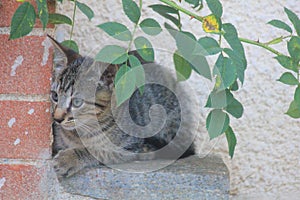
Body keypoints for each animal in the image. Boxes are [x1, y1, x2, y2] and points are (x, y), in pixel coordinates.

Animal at [49, 35, 197, 177]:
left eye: (77, 102)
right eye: (55, 96)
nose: (57, 118)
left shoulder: (127, 148)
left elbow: (97, 151)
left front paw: (69, 158)